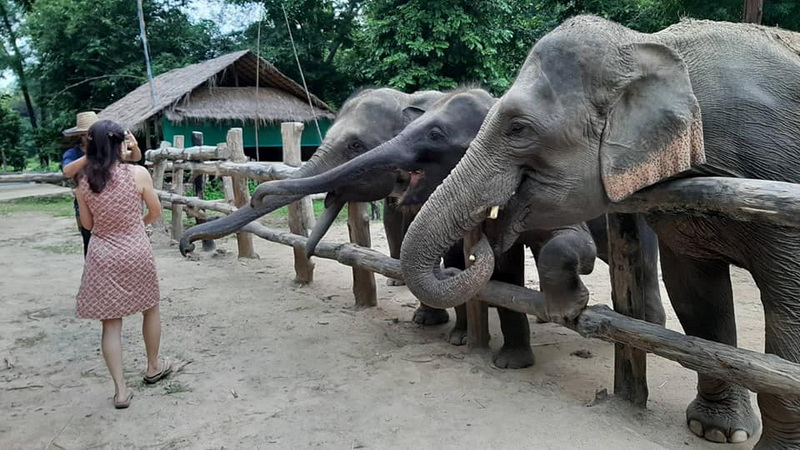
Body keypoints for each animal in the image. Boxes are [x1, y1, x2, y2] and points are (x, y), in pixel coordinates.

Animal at [253, 87, 665, 368]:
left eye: (435, 135)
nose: (257, 196)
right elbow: (484, 265)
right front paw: (462, 338)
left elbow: (567, 244)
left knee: (638, 254)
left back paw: (646, 326)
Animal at [399, 15, 800, 448]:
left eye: (518, 128)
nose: (473, 252)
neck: (651, 47)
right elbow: (696, 299)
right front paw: (715, 430)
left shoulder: (776, 163)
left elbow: (790, 305)